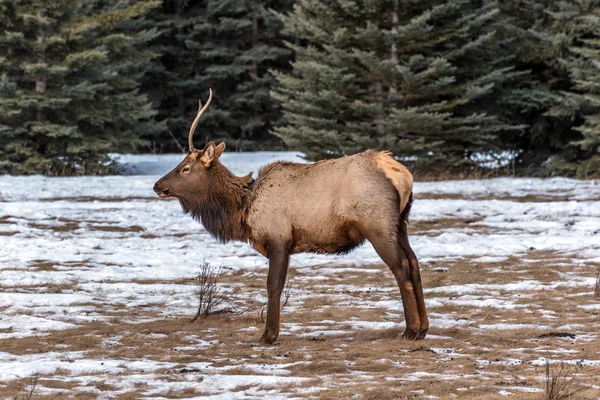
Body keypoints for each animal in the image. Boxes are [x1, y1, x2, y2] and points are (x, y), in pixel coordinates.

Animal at [154, 90, 426, 344]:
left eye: (185, 168)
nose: (157, 185)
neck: (244, 209)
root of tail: (403, 175)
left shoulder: (278, 238)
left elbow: (273, 285)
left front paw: (268, 335)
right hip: (400, 224)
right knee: (414, 262)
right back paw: (424, 328)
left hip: (377, 225)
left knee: (401, 265)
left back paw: (411, 330)